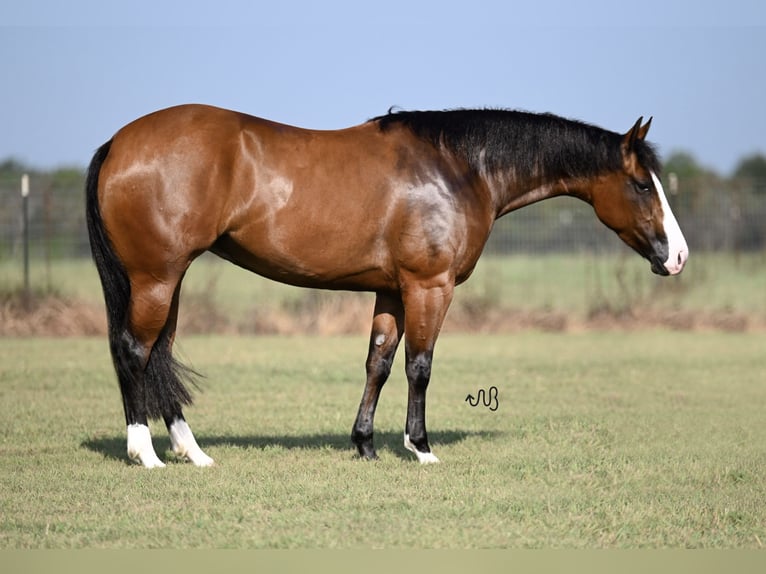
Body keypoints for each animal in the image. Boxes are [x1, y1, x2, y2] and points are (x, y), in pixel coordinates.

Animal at [84, 106, 688, 470]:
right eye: (642, 184)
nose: (678, 256)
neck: (458, 168)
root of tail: (118, 142)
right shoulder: (430, 287)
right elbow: (419, 365)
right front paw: (420, 447)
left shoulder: (393, 291)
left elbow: (378, 362)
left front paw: (365, 444)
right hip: (157, 278)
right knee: (134, 352)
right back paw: (145, 453)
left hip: (170, 280)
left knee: (159, 354)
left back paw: (194, 453)